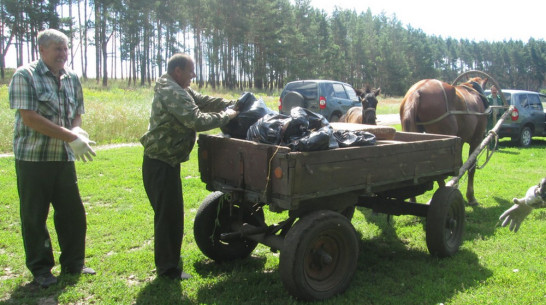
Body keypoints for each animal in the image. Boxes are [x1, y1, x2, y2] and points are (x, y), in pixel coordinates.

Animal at [398, 76, 486, 204]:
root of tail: (416, 92)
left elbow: (459, 165)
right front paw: (471, 197)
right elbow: (471, 167)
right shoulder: (476, 139)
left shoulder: (459, 142)